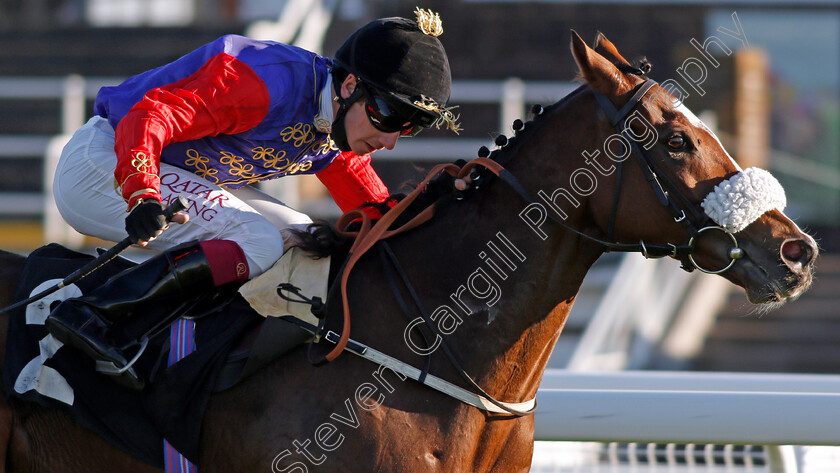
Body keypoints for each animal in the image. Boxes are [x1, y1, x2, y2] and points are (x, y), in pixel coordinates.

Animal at [0, 31, 816, 470]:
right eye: (676, 140)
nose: (797, 250)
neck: (419, 343)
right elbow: (165, 112)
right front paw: (146, 213)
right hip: (94, 175)